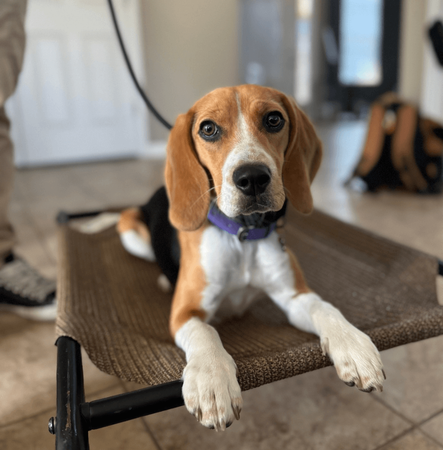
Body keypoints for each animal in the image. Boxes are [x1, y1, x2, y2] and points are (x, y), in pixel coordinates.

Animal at [117, 85, 386, 432]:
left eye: (273, 119)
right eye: (208, 128)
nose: (252, 178)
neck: (242, 236)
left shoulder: (294, 297)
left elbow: (325, 308)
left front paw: (352, 344)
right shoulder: (184, 312)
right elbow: (206, 333)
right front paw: (212, 381)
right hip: (130, 231)